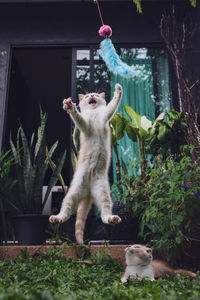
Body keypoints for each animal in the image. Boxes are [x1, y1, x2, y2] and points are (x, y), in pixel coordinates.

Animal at [49, 83, 122, 245]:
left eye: (96, 94)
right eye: (88, 95)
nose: (92, 96)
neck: (94, 114)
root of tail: (88, 193)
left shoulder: (105, 117)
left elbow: (113, 104)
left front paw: (118, 90)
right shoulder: (84, 124)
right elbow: (78, 117)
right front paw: (69, 106)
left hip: (103, 193)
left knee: (104, 214)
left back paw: (112, 218)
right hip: (72, 193)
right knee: (66, 211)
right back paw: (56, 218)